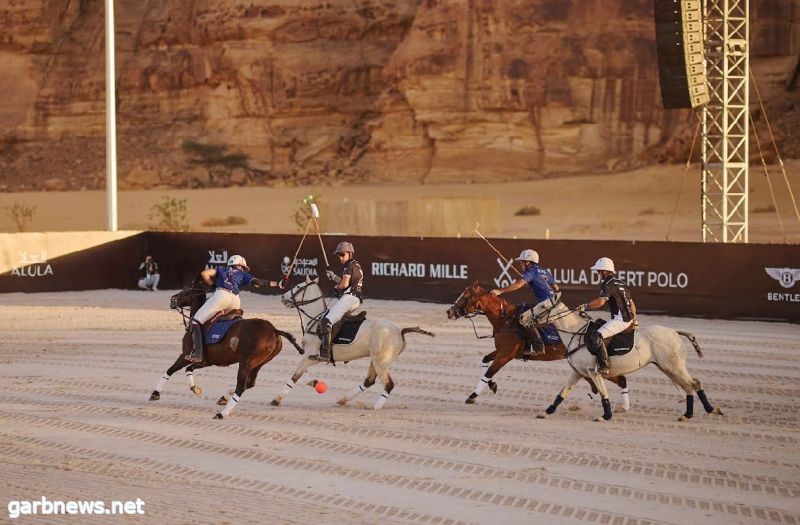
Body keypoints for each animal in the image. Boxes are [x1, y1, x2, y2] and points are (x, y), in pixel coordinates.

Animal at [148, 274, 304, 418]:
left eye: (187, 288)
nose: (172, 300)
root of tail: (274, 330)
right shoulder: (206, 362)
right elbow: (189, 369)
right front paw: (194, 388)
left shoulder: (186, 354)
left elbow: (170, 370)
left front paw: (155, 394)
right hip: (260, 363)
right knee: (249, 383)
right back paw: (223, 399)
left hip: (246, 362)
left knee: (241, 386)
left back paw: (222, 413)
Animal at [270, 278, 434, 410]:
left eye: (298, 286)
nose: (283, 297)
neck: (315, 319)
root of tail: (400, 331)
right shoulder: (308, 357)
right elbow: (302, 375)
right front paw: (316, 383)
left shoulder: (310, 356)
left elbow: (295, 376)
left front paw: (276, 399)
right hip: (375, 360)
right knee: (369, 381)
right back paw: (343, 399)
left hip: (381, 361)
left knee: (388, 384)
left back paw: (376, 406)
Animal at [446, 282, 628, 406]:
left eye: (465, 296)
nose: (449, 312)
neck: (506, 320)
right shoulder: (501, 351)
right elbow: (484, 361)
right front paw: (493, 386)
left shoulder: (506, 355)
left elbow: (489, 371)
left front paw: (472, 396)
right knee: (600, 383)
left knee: (616, 379)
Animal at [532, 294, 724, 422]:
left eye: (543, 306)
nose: (525, 316)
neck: (576, 333)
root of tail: (676, 332)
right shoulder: (578, 372)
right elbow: (563, 392)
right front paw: (546, 412)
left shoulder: (593, 372)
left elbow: (603, 393)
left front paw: (605, 416)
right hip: (668, 367)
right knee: (689, 385)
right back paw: (688, 414)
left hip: (673, 366)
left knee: (694, 383)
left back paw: (709, 410)